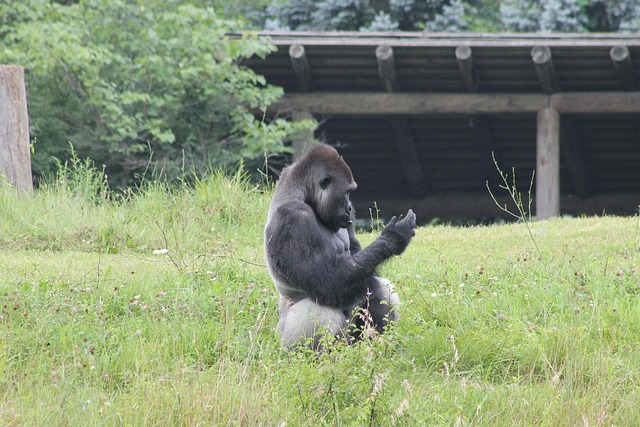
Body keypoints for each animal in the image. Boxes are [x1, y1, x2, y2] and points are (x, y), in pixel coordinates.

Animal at [264, 144, 416, 349]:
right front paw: (393, 239)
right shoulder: (294, 218)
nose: (350, 207)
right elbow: (329, 281)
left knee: (382, 286)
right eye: (346, 192)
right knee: (320, 311)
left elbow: (365, 275)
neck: (301, 193)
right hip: (285, 341)